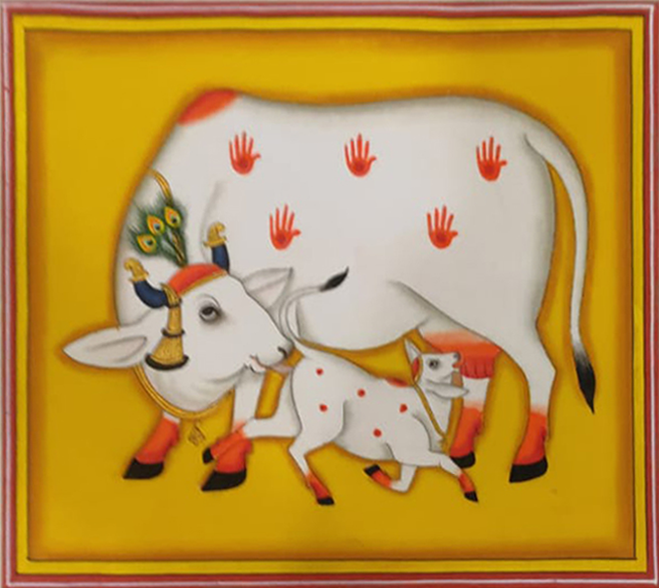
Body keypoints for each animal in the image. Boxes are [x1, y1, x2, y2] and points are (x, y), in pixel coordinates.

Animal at [205, 272, 476, 505]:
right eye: (433, 363)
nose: (457, 354)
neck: (427, 404)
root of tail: (314, 355)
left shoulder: (408, 460)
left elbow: (402, 485)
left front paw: (375, 473)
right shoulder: (410, 451)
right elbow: (445, 462)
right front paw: (470, 488)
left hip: (291, 419)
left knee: (253, 426)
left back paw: (211, 452)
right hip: (325, 425)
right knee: (295, 448)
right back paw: (322, 493)